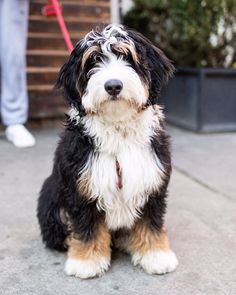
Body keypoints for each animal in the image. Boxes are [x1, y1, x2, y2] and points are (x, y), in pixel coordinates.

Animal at [37, 23, 178, 280]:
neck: (118, 128)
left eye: (127, 57)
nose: (113, 85)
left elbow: (150, 221)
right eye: (93, 61)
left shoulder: (152, 179)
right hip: (51, 198)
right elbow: (87, 225)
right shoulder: (81, 186)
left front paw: (155, 255)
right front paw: (87, 261)